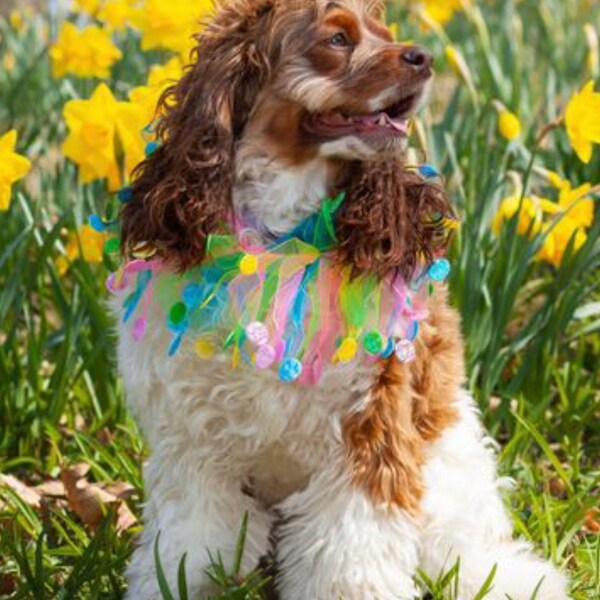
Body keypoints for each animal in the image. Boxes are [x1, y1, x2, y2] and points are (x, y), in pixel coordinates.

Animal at [115, 1, 568, 600]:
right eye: (337, 38)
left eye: (384, 32)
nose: (423, 57)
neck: (284, 240)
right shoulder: (195, 443)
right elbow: (188, 539)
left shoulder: (368, 434)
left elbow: (347, 554)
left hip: (448, 478)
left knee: (465, 552)